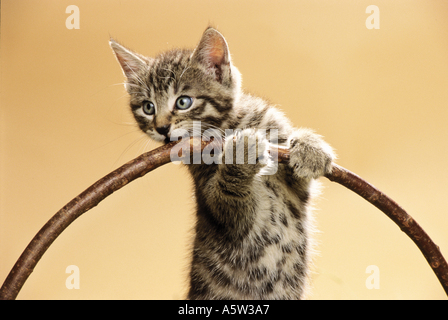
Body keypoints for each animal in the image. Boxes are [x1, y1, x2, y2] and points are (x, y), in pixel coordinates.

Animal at [110, 26, 334, 298]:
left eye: (183, 102)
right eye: (148, 107)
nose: (161, 128)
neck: (228, 126)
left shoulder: (293, 189)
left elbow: (298, 168)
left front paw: (310, 148)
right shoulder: (228, 213)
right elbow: (229, 197)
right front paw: (241, 154)